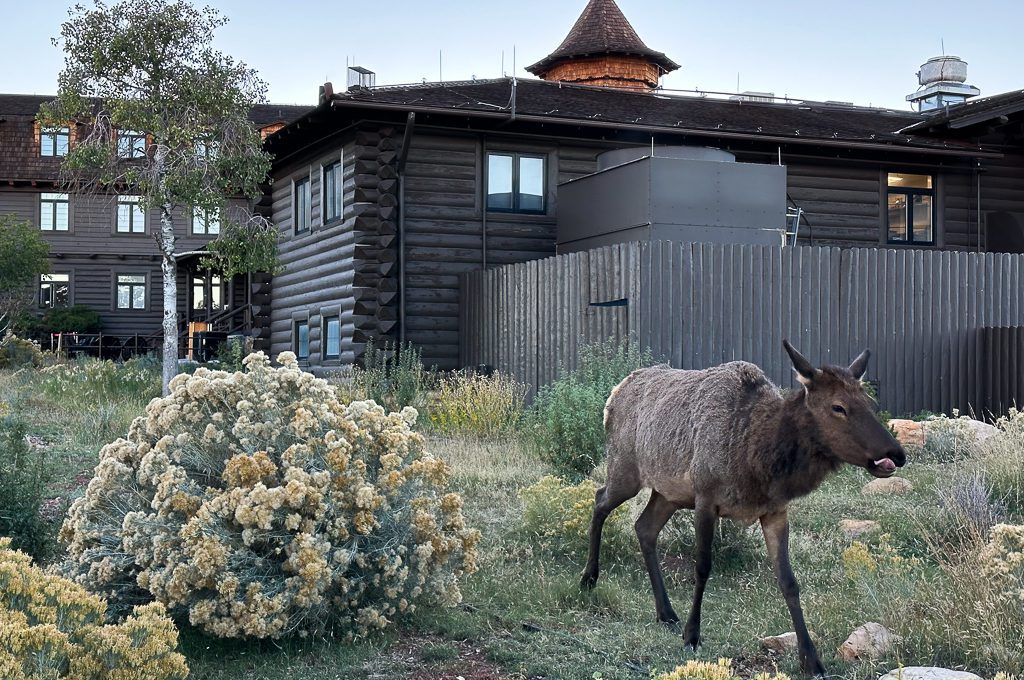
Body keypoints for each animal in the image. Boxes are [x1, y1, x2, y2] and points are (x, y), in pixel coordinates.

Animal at [581, 342, 909, 675]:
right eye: (837, 407)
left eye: (869, 402)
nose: (895, 453)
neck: (756, 460)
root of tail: (614, 393)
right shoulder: (705, 497)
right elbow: (702, 567)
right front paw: (692, 634)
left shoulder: (775, 511)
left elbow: (789, 581)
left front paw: (811, 658)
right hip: (626, 470)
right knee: (599, 499)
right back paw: (589, 578)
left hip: (668, 493)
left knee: (644, 528)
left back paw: (666, 611)